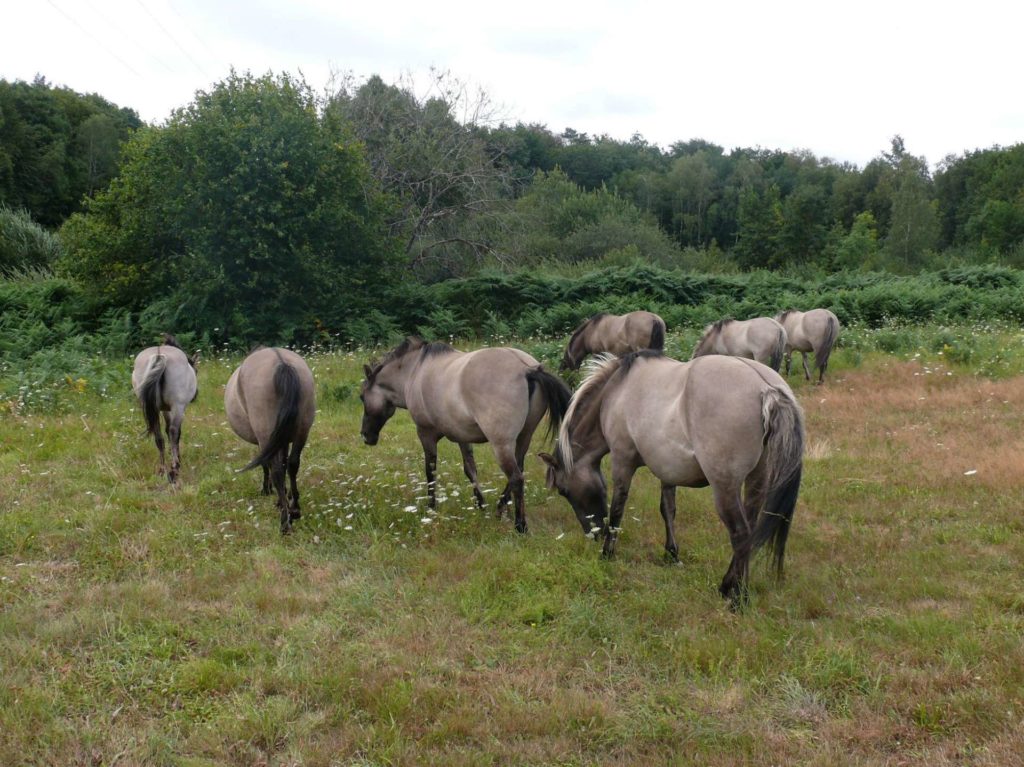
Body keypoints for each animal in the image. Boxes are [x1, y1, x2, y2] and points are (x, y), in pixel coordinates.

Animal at [130, 329, 197, 485]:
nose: (196, 395)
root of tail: (159, 356)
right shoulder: (176, 409)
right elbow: (175, 433)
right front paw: (177, 459)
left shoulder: (164, 410)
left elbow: (165, 431)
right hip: (178, 407)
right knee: (173, 432)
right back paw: (174, 470)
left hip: (153, 410)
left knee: (158, 437)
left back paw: (162, 470)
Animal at [225, 346, 313, 532]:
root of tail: (282, 363)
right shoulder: (282, 441)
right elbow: (286, 463)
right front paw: (286, 496)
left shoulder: (264, 442)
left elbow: (267, 465)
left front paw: (269, 491)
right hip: (302, 433)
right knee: (293, 464)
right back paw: (294, 509)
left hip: (267, 435)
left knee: (277, 471)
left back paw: (285, 522)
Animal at [362, 337, 573, 536]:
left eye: (362, 398)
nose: (365, 435)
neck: (415, 371)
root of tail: (527, 369)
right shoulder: (462, 437)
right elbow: (470, 469)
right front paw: (480, 504)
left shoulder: (425, 433)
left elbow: (431, 471)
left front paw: (431, 508)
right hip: (523, 438)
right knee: (519, 470)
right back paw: (500, 508)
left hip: (501, 444)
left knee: (516, 478)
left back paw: (520, 527)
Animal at [540, 350, 802, 606]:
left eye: (564, 491)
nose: (593, 534)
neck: (616, 391)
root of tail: (767, 388)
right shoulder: (667, 470)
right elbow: (668, 509)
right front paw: (671, 554)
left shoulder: (622, 461)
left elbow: (617, 509)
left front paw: (607, 553)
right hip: (757, 479)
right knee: (750, 532)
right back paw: (730, 586)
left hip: (725, 487)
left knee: (741, 534)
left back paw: (738, 597)